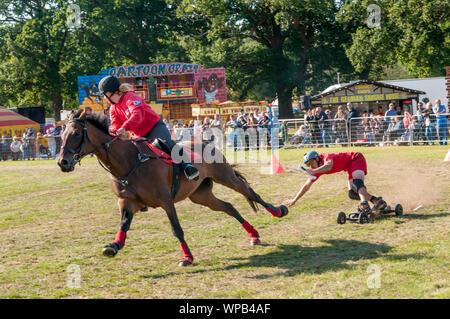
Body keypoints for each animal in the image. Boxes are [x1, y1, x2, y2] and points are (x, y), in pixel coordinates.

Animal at [57, 109, 288, 266]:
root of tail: (208, 142)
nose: (62, 163)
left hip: (225, 176)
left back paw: (278, 211)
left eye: (76, 134)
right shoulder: (127, 202)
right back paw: (254, 235)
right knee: (228, 207)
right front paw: (113, 246)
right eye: (62, 134)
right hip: (200, 195)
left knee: (250, 193)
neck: (130, 163)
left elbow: (176, 229)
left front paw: (187, 257)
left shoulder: (166, 201)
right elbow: (123, 224)